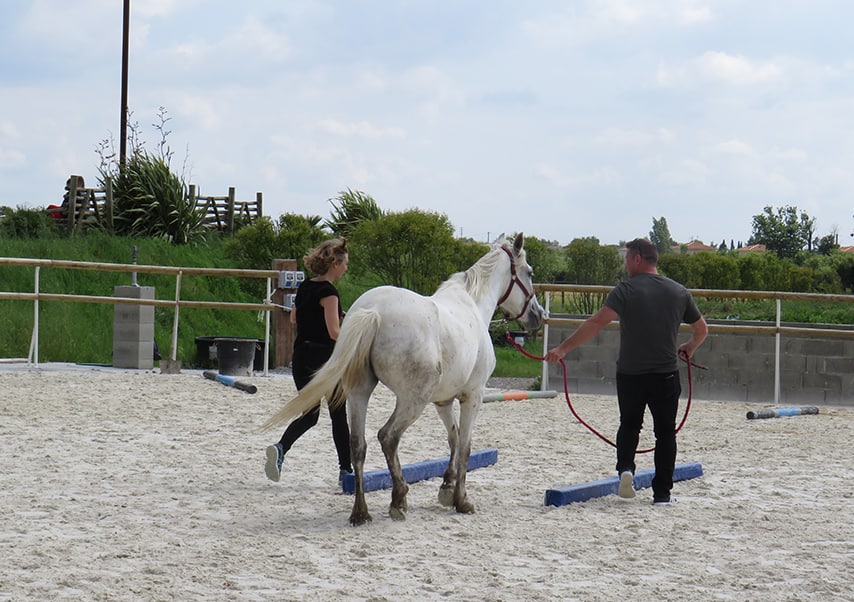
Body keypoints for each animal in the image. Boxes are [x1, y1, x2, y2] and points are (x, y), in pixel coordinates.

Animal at [260, 232, 544, 524]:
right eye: (530, 273)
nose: (538, 316)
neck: (473, 305)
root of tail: (373, 311)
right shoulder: (472, 396)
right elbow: (465, 446)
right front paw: (461, 500)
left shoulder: (443, 401)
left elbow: (452, 438)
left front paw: (446, 487)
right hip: (412, 400)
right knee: (388, 437)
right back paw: (398, 498)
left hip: (360, 393)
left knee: (357, 444)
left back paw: (361, 512)